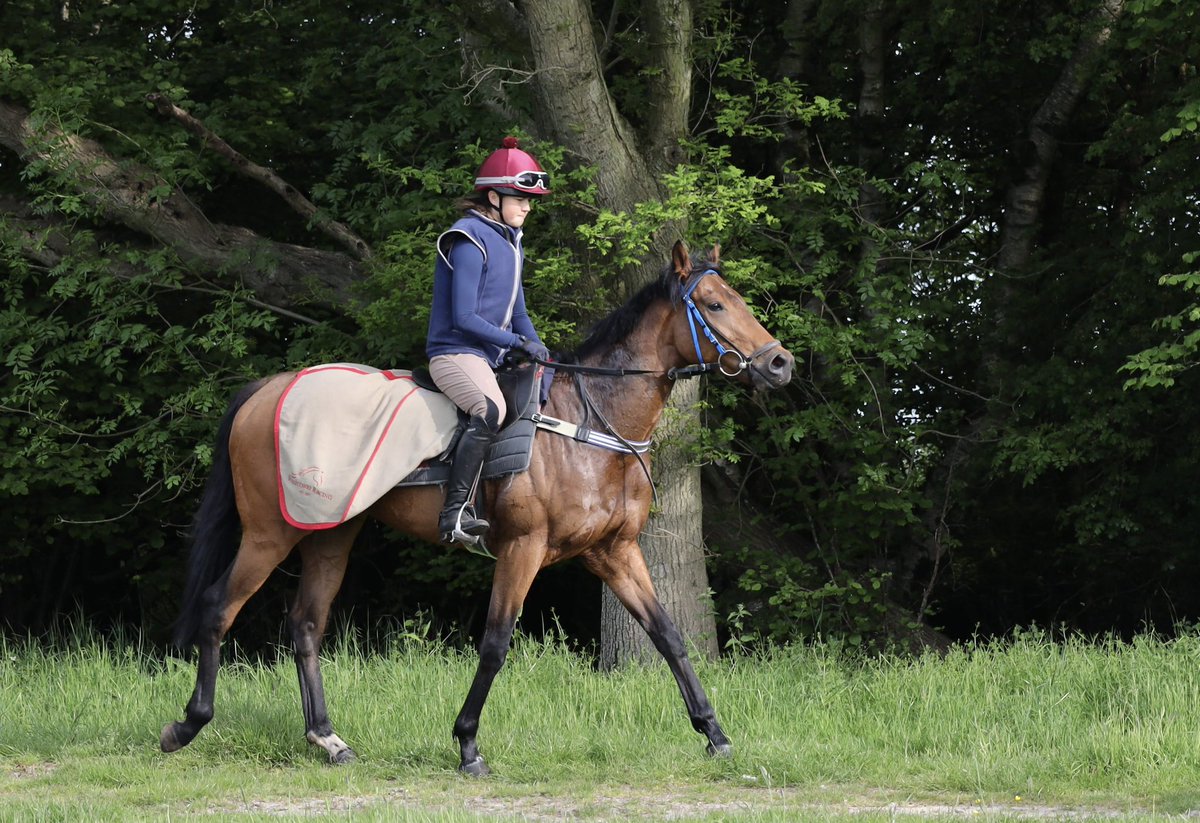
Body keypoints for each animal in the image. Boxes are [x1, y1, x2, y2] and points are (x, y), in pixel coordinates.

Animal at [162, 238, 796, 772]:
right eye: (714, 304)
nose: (779, 363)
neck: (591, 421)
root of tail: (266, 389)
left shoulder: (613, 552)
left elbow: (667, 635)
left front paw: (714, 734)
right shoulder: (523, 548)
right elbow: (494, 643)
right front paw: (467, 744)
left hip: (329, 535)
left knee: (306, 625)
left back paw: (328, 738)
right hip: (269, 533)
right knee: (219, 607)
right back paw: (187, 725)